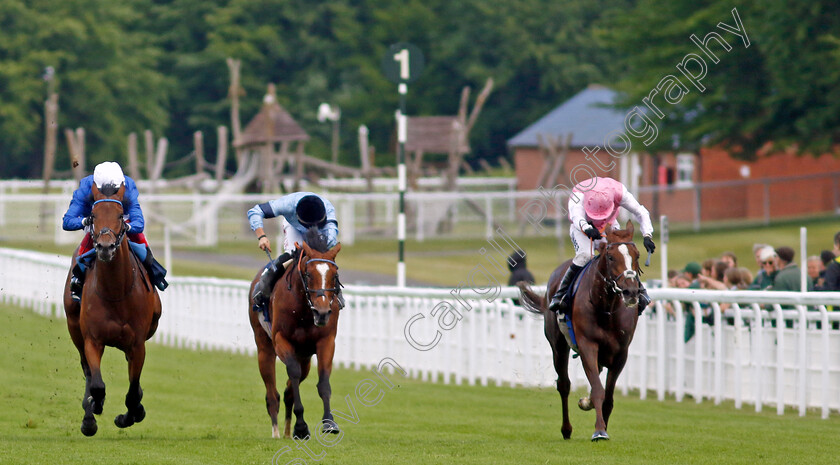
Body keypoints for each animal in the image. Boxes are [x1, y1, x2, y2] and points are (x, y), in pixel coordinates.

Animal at [62, 181, 162, 436]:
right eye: (93, 215)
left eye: (120, 215)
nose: (105, 247)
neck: (116, 291)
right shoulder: (92, 339)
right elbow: (97, 384)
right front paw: (93, 409)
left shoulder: (137, 344)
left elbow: (133, 392)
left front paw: (130, 415)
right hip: (74, 329)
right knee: (87, 371)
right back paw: (89, 412)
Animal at [248, 228, 342, 438]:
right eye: (308, 274)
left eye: (334, 275)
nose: (322, 312)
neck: (304, 311)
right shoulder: (281, 340)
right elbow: (293, 373)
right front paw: (301, 426)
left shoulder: (326, 341)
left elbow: (323, 382)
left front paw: (329, 422)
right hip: (264, 347)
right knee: (272, 392)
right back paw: (276, 431)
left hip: (304, 356)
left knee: (288, 391)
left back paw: (287, 432)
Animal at [520, 219, 644, 440]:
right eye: (611, 257)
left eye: (637, 255)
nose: (630, 291)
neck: (606, 309)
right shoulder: (587, 345)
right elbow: (597, 390)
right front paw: (599, 430)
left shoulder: (621, 353)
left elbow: (608, 396)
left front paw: (602, 424)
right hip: (558, 346)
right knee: (564, 384)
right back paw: (566, 429)